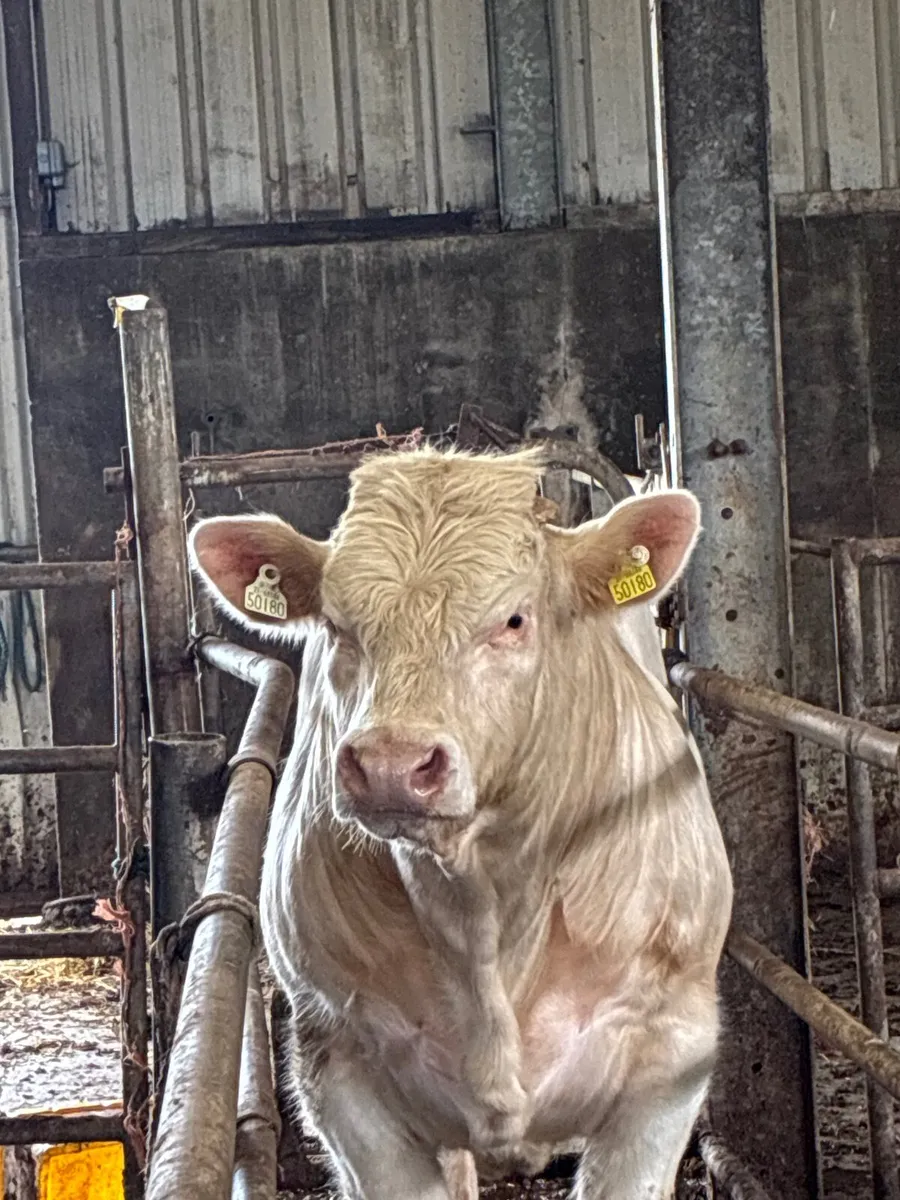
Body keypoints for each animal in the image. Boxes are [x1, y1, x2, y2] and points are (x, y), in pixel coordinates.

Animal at [189, 446, 733, 1200]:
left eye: (514, 619)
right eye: (336, 625)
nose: (391, 763)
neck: (484, 908)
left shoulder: (670, 1063)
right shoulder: (338, 1065)